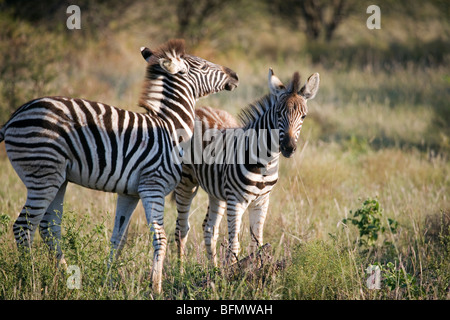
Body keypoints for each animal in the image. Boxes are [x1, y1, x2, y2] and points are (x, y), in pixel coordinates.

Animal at [0, 38, 239, 292]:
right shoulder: (152, 186)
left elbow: (118, 239)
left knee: (49, 227)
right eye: (203, 66)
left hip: (58, 178)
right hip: (42, 174)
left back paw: (65, 278)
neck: (171, 128)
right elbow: (160, 237)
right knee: (23, 227)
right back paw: (29, 277)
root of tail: (15, 116)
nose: (235, 75)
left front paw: (108, 282)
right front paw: (156, 287)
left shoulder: (129, 193)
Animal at [173, 67, 320, 264]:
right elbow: (234, 246)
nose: (289, 148)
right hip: (186, 182)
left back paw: (213, 269)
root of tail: (199, 109)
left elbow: (257, 244)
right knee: (181, 229)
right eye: (278, 114)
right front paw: (232, 272)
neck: (266, 162)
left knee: (209, 228)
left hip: (216, 191)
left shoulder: (262, 201)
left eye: (303, 116)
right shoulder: (236, 201)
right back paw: (179, 270)